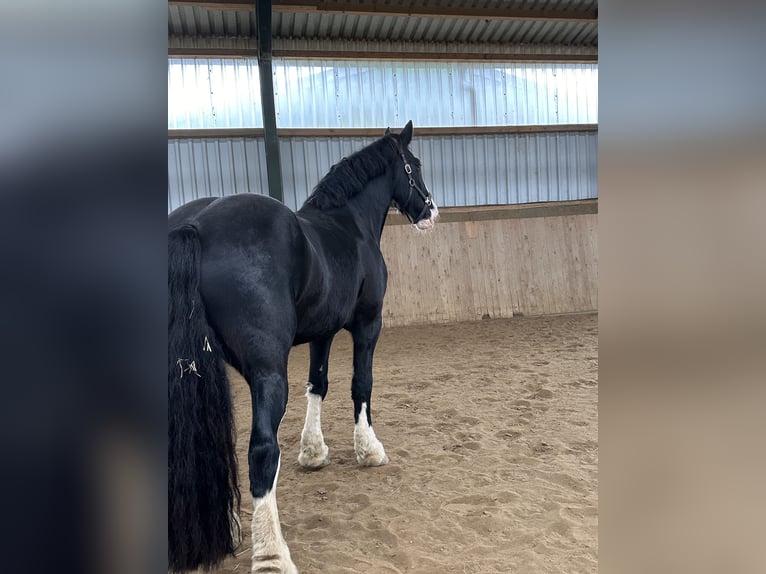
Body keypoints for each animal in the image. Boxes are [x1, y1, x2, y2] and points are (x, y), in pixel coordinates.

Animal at [171, 120, 440, 572]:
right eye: (413, 165)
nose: (430, 212)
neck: (349, 225)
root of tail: (196, 227)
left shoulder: (323, 332)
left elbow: (318, 385)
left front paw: (313, 453)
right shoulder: (368, 324)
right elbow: (360, 385)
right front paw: (369, 450)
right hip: (267, 371)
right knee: (261, 450)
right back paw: (271, 553)